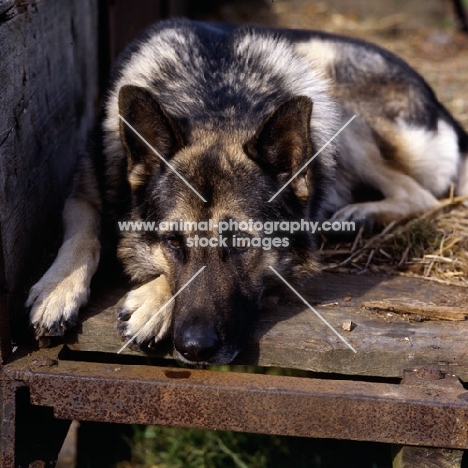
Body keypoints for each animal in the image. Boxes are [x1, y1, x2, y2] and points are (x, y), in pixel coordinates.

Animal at [26, 19, 468, 366]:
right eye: (173, 242)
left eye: (240, 243)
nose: (195, 348)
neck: (214, 99)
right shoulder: (84, 190)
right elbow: (83, 234)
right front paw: (58, 289)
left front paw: (151, 301)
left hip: (341, 105)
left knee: (421, 195)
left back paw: (360, 215)